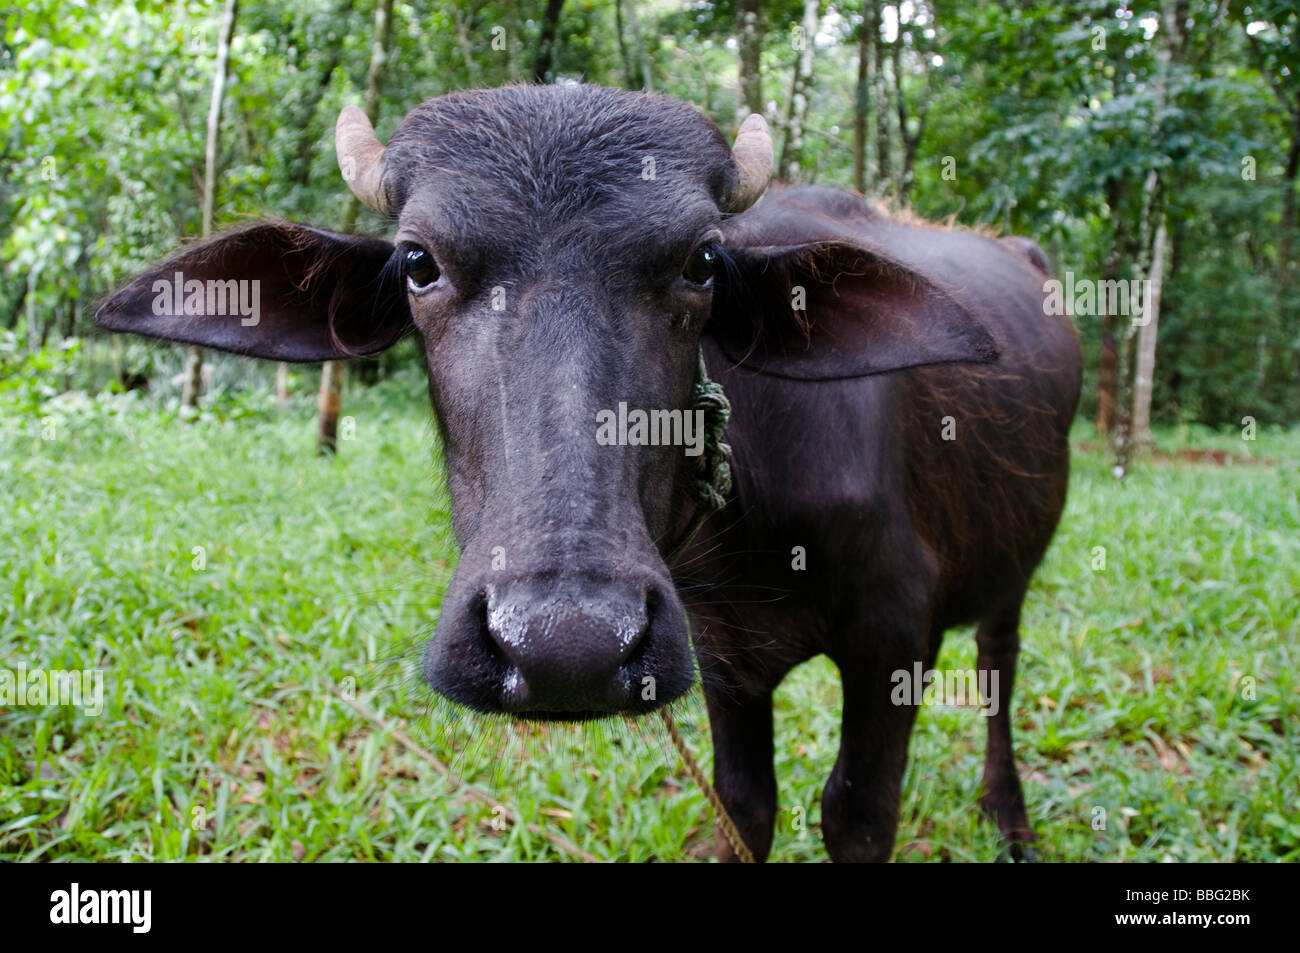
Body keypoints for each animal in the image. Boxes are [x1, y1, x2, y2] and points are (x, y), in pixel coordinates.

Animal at [96, 85, 1081, 858]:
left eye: (702, 261)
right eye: (418, 261)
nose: (563, 644)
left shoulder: (892, 636)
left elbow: (856, 813)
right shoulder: (725, 656)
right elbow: (743, 807)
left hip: (1017, 565)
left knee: (998, 665)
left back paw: (1010, 817)